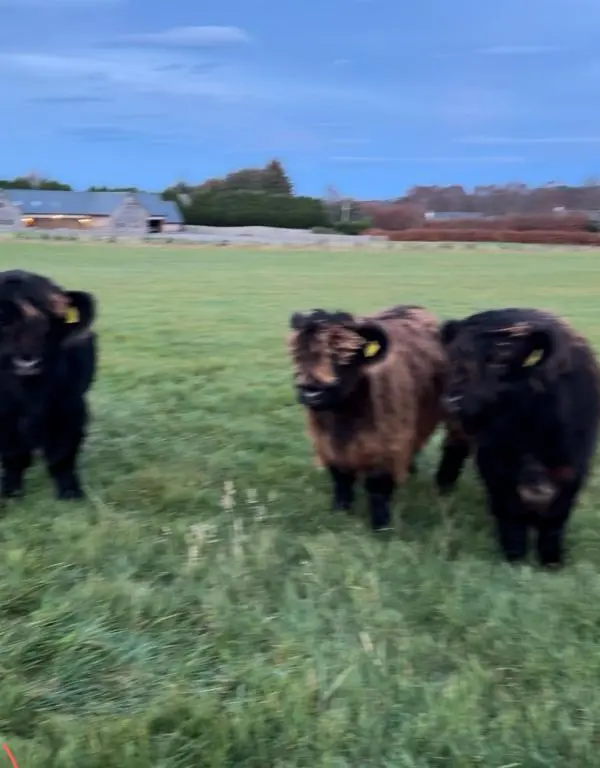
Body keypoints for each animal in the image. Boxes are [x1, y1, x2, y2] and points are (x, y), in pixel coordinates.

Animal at [0, 269, 97, 501]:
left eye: (49, 321)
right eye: (3, 319)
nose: (27, 362)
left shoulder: (70, 408)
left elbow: (61, 455)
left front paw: (70, 493)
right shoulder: (6, 414)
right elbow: (13, 455)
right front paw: (10, 493)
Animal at [287, 305, 447, 530]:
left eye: (346, 355)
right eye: (297, 352)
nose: (312, 392)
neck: (343, 417)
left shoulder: (387, 445)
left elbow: (378, 487)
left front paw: (380, 525)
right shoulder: (326, 443)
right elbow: (341, 479)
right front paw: (340, 510)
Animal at [435, 307, 600, 568]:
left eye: (500, 360)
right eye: (452, 357)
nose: (452, 401)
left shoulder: (574, 467)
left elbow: (556, 518)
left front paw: (551, 560)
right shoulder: (494, 463)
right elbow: (510, 511)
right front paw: (514, 557)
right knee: (454, 451)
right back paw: (444, 487)